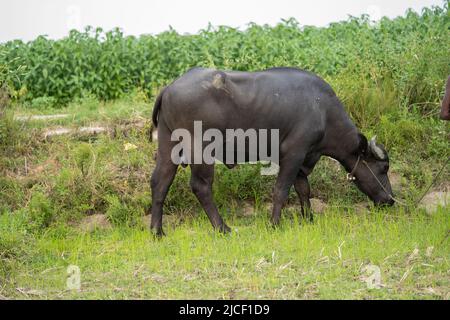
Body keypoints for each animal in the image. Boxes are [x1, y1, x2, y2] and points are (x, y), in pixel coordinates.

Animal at [149, 67, 394, 235]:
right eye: (384, 167)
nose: (390, 199)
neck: (323, 111)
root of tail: (169, 87)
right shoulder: (293, 154)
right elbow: (281, 190)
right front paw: (275, 224)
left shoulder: (303, 159)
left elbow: (304, 189)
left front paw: (309, 219)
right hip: (201, 150)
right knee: (201, 186)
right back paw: (223, 228)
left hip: (168, 144)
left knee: (160, 182)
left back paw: (157, 231)